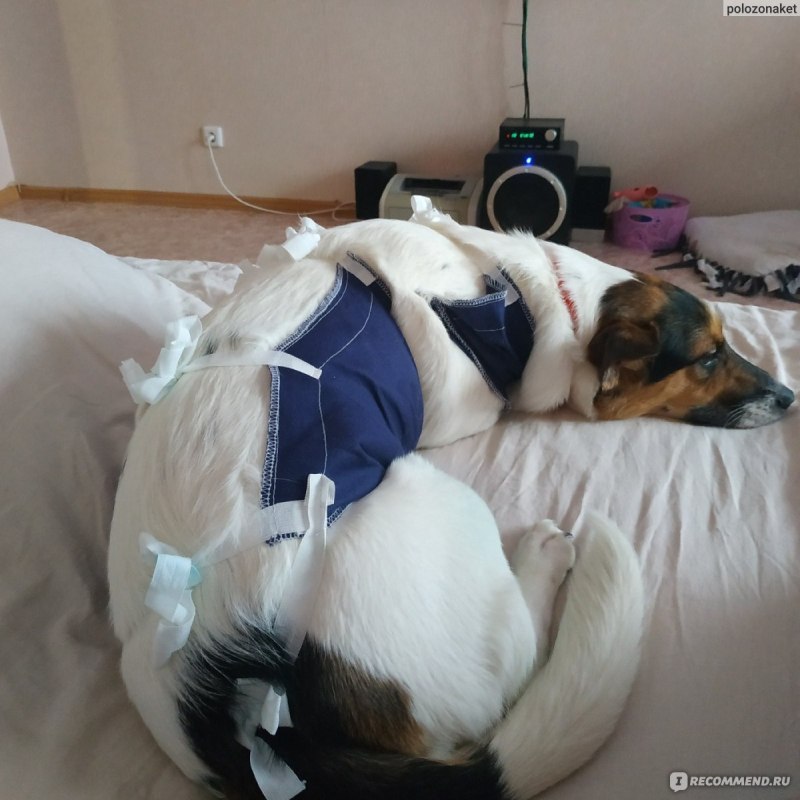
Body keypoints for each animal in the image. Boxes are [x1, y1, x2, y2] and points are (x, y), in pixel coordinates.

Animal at [108, 205, 793, 800]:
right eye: (708, 359)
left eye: (724, 344)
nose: (789, 396)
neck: (540, 297)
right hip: (433, 492)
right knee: (521, 656)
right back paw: (545, 554)